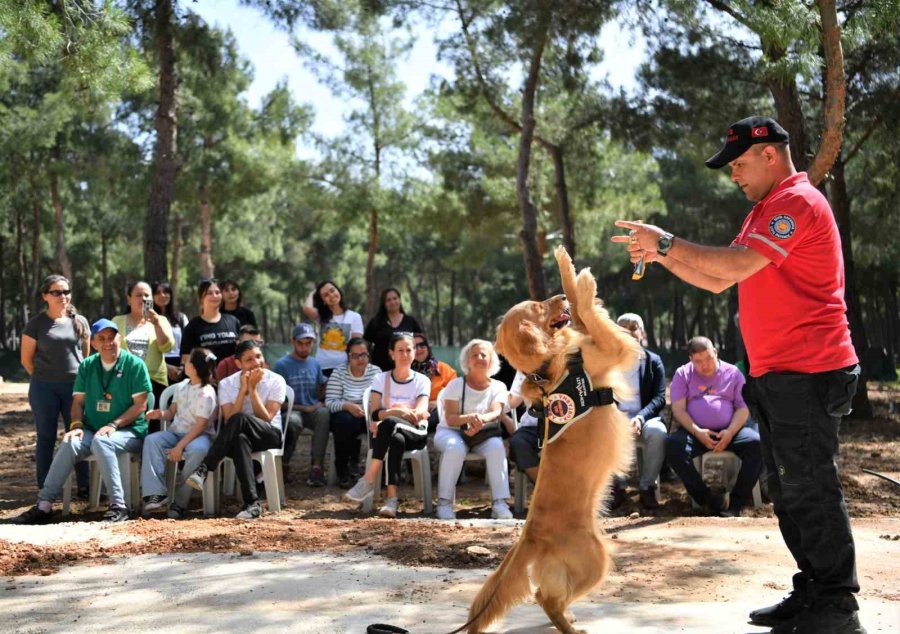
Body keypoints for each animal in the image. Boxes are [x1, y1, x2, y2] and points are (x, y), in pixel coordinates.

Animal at [464, 244, 640, 628]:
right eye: (538, 307)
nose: (555, 298)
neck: (549, 367)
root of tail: (529, 533)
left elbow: (581, 313)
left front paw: (565, 266)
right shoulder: (611, 348)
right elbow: (590, 313)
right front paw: (583, 284)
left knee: (549, 595)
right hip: (595, 556)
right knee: (544, 598)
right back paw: (570, 627)